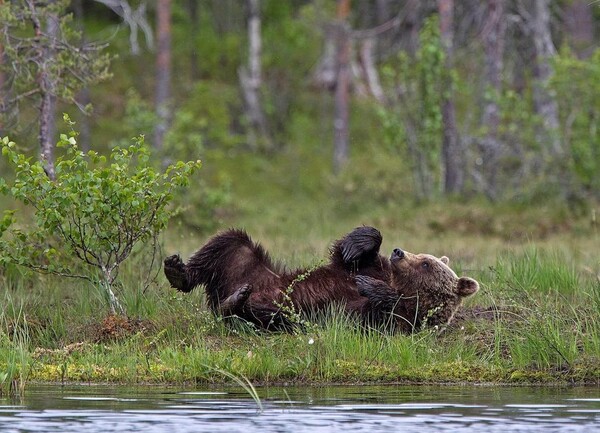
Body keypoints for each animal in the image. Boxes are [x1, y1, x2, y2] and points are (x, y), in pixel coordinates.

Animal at [163, 224, 478, 332]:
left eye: (425, 263)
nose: (399, 252)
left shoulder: (393, 320)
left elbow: (378, 313)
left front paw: (371, 288)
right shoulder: (370, 267)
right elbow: (349, 258)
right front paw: (357, 244)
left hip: (284, 311)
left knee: (264, 314)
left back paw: (237, 301)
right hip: (247, 266)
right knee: (229, 242)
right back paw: (178, 271)